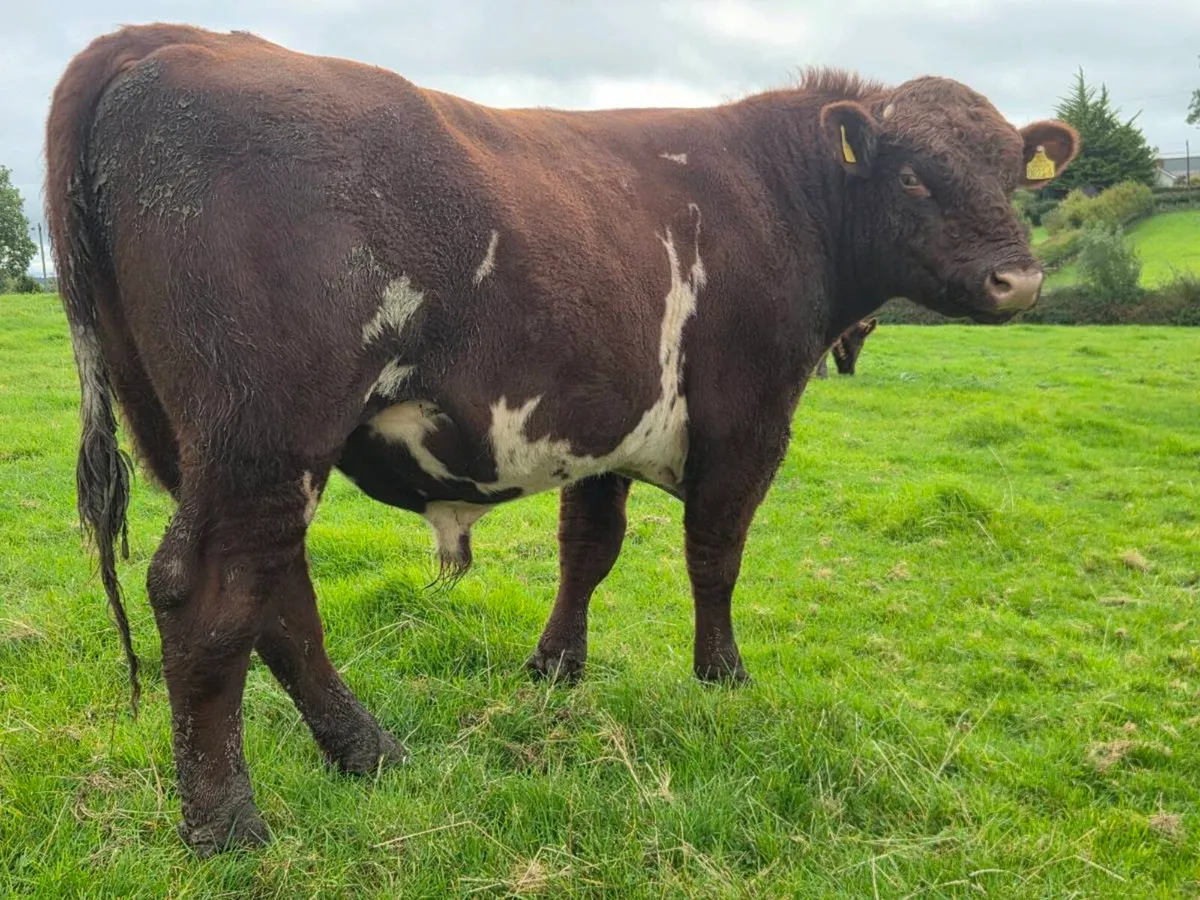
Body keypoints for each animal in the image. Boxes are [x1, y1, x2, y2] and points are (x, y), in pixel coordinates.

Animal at [45, 23, 1077, 854]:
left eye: (1008, 172)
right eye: (913, 174)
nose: (1019, 282)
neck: (783, 193)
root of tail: (173, 40)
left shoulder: (605, 428)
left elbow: (589, 548)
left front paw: (554, 669)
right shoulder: (747, 420)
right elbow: (716, 557)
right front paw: (722, 677)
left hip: (202, 442)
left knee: (280, 598)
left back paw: (369, 752)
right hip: (262, 429)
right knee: (209, 596)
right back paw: (227, 826)